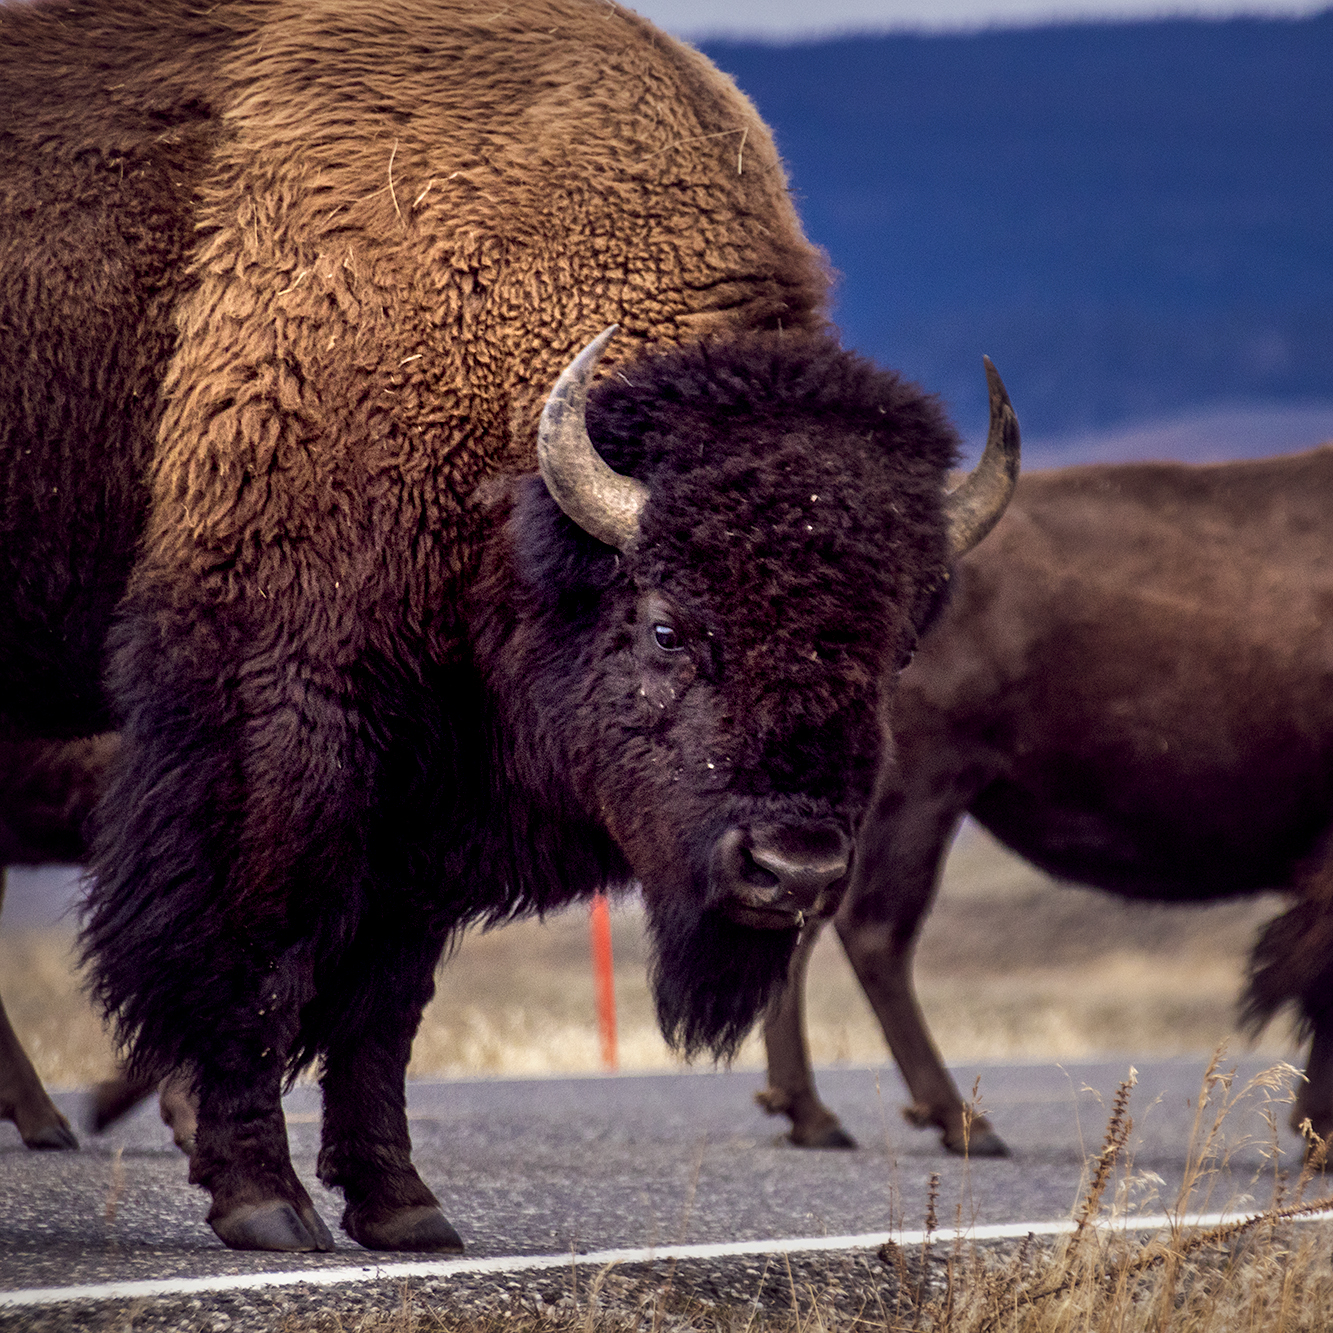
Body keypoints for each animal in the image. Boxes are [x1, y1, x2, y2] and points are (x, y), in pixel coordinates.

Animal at [2, 0, 1018, 1247]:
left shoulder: (433, 797)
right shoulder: (282, 712)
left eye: (893, 651)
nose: (792, 867)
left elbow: (384, 998)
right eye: (667, 625)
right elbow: (259, 948)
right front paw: (266, 1202)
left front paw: (402, 1209)